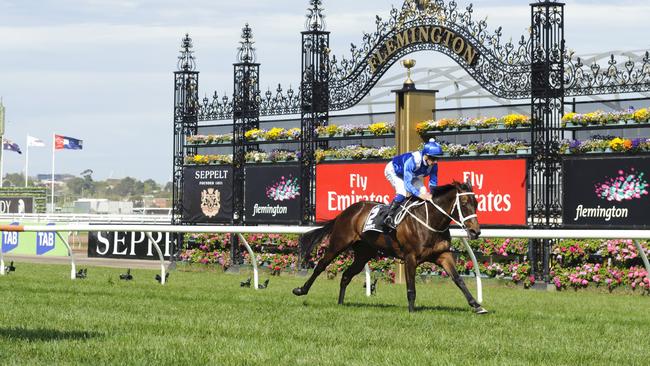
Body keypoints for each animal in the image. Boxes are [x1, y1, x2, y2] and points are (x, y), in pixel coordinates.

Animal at [292, 182, 484, 314]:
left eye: (476, 202)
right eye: (464, 202)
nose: (476, 231)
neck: (430, 221)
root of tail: (346, 211)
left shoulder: (443, 255)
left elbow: (458, 280)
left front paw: (476, 305)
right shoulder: (410, 257)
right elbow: (411, 287)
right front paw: (412, 311)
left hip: (364, 253)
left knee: (346, 275)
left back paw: (340, 303)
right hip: (338, 243)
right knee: (321, 265)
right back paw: (300, 290)